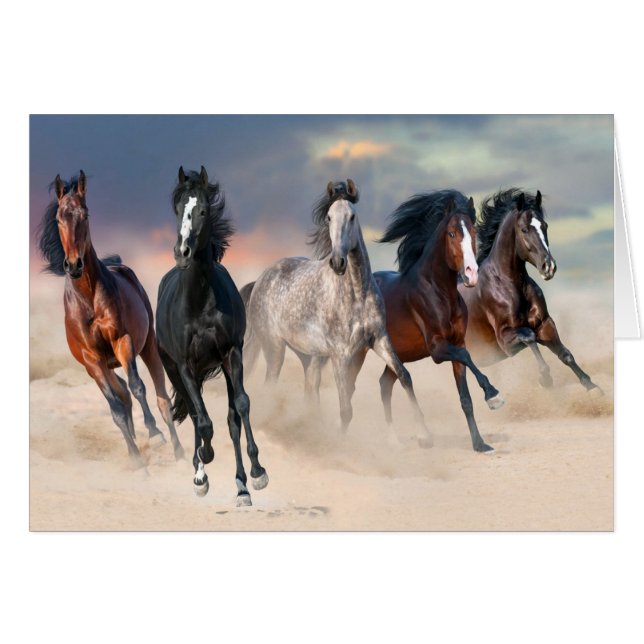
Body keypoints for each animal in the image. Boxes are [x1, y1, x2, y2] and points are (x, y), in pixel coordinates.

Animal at [36, 171, 184, 468]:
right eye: (58, 217)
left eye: (85, 214)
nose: (73, 265)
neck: (88, 298)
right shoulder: (92, 361)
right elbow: (116, 408)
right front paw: (136, 461)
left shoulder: (122, 340)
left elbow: (139, 387)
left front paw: (154, 434)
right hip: (105, 366)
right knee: (123, 396)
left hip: (147, 346)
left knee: (161, 399)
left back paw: (178, 452)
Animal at [155, 166, 268, 505]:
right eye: (178, 209)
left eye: (203, 210)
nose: (182, 253)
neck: (200, 301)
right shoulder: (184, 366)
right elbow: (203, 420)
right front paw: (203, 465)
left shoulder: (232, 353)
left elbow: (241, 407)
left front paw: (257, 474)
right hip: (173, 369)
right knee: (195, 415)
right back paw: (199, 472)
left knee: (231, 420)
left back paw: (241, 486)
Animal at [242, 179, 430, 441]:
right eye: (329, 217)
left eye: (352, 216)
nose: (338, 262)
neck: (357, 294)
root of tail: (260, 280)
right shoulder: (341, 353)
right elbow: (346, 408)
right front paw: (341, 442)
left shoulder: (379, 340)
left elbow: (405, 377)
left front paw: (425, 434)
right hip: (275, 349)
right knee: (270, 387)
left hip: (309, 356)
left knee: (310, 392)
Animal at [374, 190, 504, 453]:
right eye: (452, 233)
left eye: (474, 232)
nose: (471, 273)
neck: (439, 293)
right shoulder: (437, 349)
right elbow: (467, 357)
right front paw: (494, 395)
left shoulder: (456, 343)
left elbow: (465, 398)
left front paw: (480, 444)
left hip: (395, 354)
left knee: (386, 384)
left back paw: (394, 441)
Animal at [459, 188, 599, 391]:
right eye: (524, 229)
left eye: (545, 226)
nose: (549, 267)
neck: (509, 285)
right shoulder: (505, 341)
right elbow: (529, 336)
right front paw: (545, 378)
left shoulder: (545, 324)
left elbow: (565, 354)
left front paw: (592, 386)